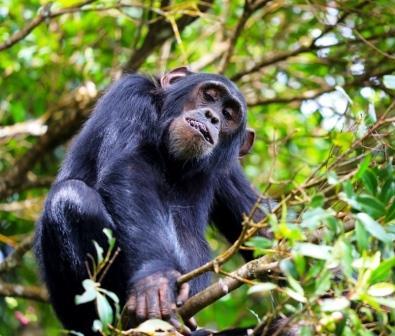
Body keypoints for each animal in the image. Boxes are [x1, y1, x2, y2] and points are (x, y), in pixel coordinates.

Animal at [35, 67, 274, 334]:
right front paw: (154, 279)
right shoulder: (131, 94)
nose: (212, 116)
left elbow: (261, 224)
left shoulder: (228, 169)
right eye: (209, 95)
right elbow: (129, 169)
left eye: (229, 114)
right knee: (71, 197)